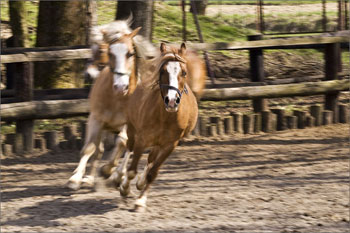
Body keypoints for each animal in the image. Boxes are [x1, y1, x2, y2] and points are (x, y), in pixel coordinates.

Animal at [66, 20, 142, 189]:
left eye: (130, 53)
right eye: (111, 53)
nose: (120, 86)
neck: (118, 98)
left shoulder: (128, 124)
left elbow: (123, 143)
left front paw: (109, 171)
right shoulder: (96, 120)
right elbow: (90, 148)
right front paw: (76, 179)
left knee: (126, 146)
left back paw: (116, 175)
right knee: (98, 148)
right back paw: (89, 177)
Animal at [117, 42, 200, 211]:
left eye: (184, 72)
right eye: (162, 71)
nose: (172, 101)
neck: (165, 117)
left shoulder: (170, 145)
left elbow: (153, 173)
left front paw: (141, 200)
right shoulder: (142, 140)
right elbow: (131, 170)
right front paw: (125, 188)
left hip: (158, 143)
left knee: (151, 159)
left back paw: (140, 183)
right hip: (132, 128)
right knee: (128, 148)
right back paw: (121, 176)